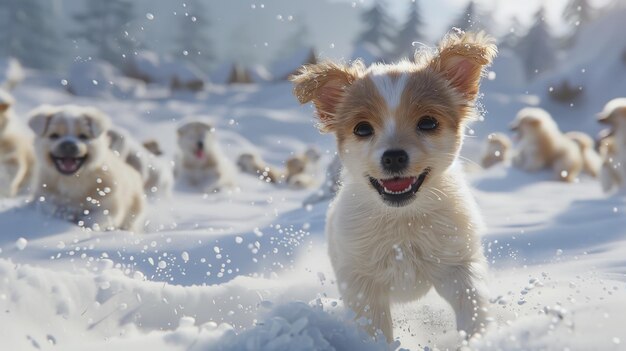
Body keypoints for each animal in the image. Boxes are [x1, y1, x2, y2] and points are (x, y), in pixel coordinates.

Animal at [290, 31, 494, 342]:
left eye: (428, 122)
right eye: (362, 128)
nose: (394, 156)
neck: (402, 222)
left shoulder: (458, 263)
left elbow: (472, 303)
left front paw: (477, 339)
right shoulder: (361, 285)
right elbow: (373, 328)